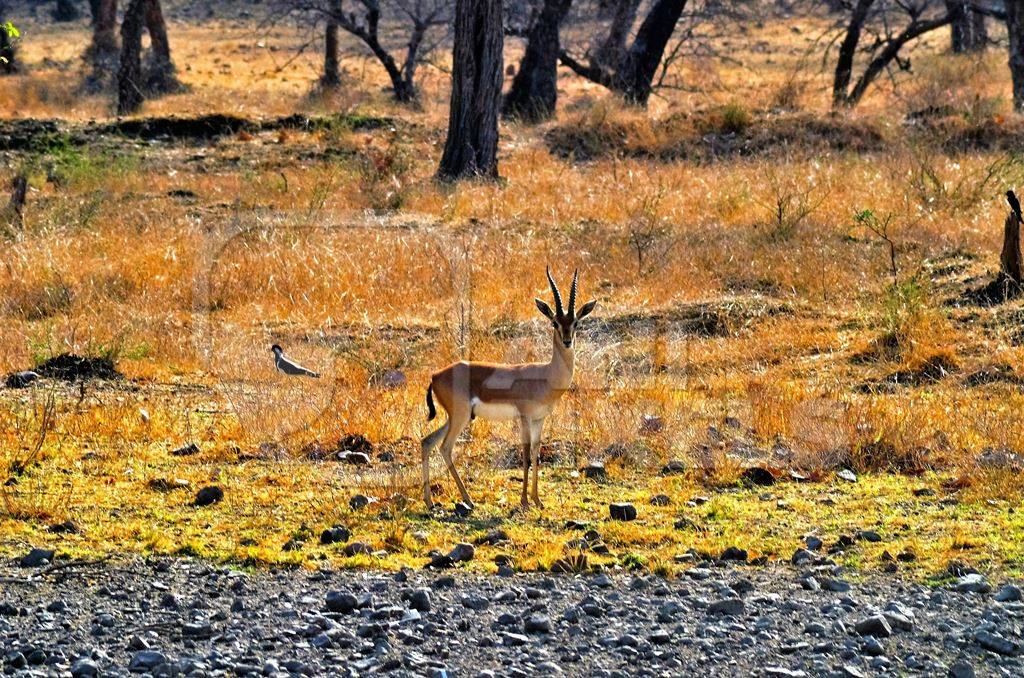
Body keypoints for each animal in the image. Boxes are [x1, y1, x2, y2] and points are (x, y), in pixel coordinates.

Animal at [419, 268, 598, 512]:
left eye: (576, 322)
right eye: (554, 322)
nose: (567, 341)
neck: (546, 376)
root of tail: (435, 375)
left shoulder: (539, 419)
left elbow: (536, 454)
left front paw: (537, 500)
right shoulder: (524, 417)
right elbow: (525, 454)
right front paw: (524, 501)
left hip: (454, 417)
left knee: (427, 442)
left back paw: (430, 502)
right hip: (461, 417)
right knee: (445, 447)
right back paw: (468, 500)